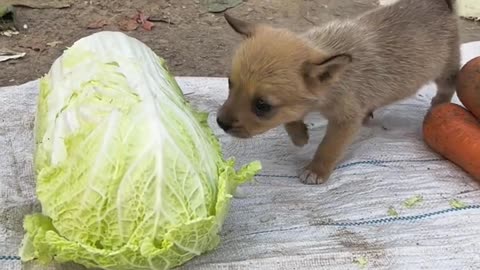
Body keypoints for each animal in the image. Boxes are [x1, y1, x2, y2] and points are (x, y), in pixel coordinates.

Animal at [216, 0, 460, 185]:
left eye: (262, 106)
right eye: (230, 84)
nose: (220, 123)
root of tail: (439, 4)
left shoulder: (345, 121)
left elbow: (328, 147)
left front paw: (316, 170)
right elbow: (291, 118)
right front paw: (299, 136)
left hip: (446, 69)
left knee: (448, 87)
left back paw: (438, 105)